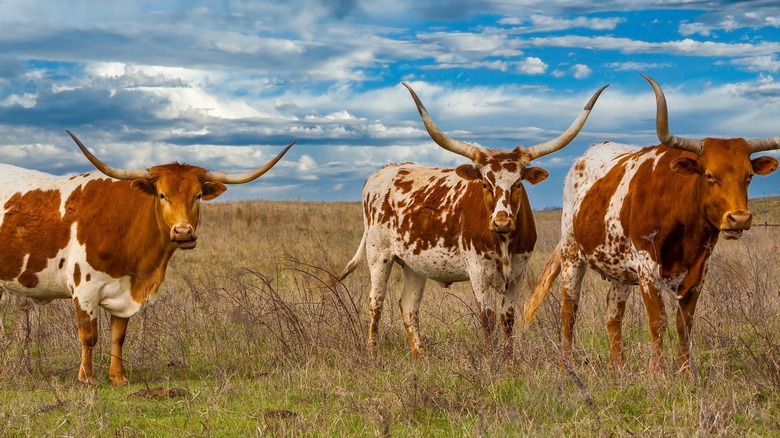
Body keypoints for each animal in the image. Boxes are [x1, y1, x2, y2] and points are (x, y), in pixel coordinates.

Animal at [0, 132, 296, 384]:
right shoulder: (84, 289)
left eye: (198, 195)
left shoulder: (126, 292)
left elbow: (118, 336)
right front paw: (87, 378)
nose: (183, 232)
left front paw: (118, 378)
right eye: (162, 195)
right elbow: (89, 336)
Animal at [336, 83, 608, 360]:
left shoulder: (518, 274)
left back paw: (420, 357)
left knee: (409, 305)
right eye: (485, 184)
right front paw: (490, 362)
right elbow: (487, 320)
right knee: (376, 303)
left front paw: (508, 362)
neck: (504, 242)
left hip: (414, 263)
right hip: (378, 254)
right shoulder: (478, 272)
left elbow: (507, 320)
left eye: (518, 184)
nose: (502, 223)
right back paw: (372, 353)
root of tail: (381, 173)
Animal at [524, 75, 780, 372]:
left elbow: (684, 324)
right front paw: (658, 373)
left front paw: (684, 373)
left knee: (613, 314)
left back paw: (619, 367)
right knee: (570, 307)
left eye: (749, 176)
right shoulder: (647, 269)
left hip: (619, 269)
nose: (739, 218)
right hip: (571, 252)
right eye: (709, 175)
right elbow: (658, 322)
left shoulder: (698, 271)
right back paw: (566, 362)